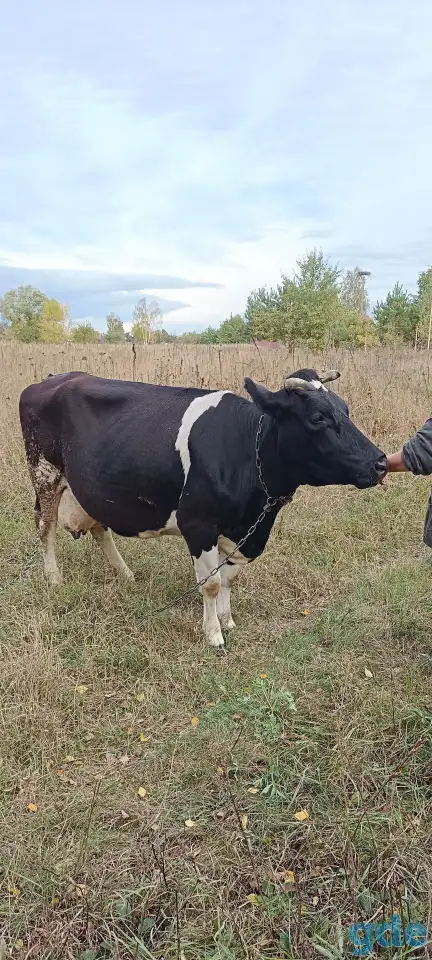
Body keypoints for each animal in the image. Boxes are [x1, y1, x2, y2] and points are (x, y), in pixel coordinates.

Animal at [19, 369, 387, 648]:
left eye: (345, 409)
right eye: (317, 417)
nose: (380, 463)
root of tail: (54, 378)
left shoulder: (242, 531)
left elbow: (228, 578)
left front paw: (227, 619)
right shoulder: (197, 524)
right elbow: (210, 583)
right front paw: (213, 634)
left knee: (98, 526)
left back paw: (125, 574)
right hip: (44, 472)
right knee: (45, 525)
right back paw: (54, 577)